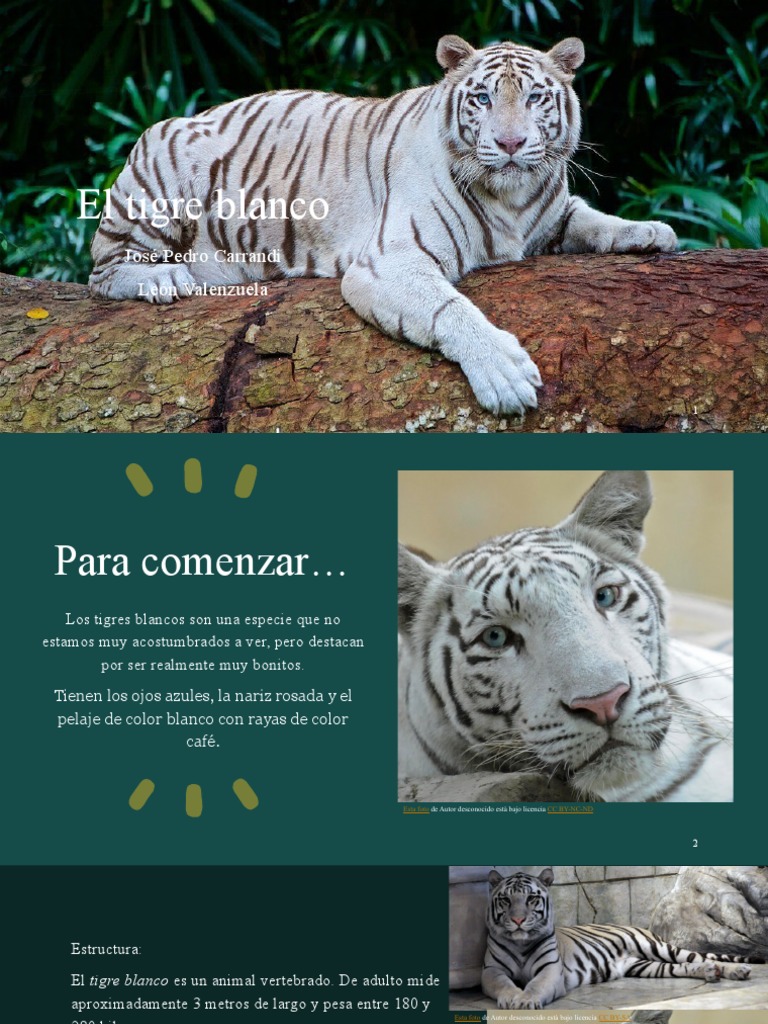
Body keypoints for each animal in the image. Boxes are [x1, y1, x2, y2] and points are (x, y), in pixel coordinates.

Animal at [88, 34, 677, 416]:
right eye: (483, 97)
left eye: (534, 97)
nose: (510, 143)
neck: (512, 198)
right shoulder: (391, 260)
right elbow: (450, 308)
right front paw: (505, 374)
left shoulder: (552, 215)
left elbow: (592, 218)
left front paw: (651, 231)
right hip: (160, 172)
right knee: (103, 271)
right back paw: (163, 278)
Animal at [483, 869, 759, 1010]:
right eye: (505, 900)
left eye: (531, 898)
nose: (518, 920)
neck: (521, 942)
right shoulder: (491, 971)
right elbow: (503, 984)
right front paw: (512, 998)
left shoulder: (551, 971)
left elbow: (536, 985)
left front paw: (525, 1000)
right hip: (645, 966)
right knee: (686, 966)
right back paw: (710, 972)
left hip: (659, 948)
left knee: (696, 956)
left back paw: (736, 971)